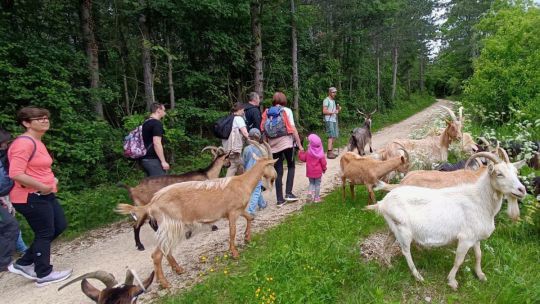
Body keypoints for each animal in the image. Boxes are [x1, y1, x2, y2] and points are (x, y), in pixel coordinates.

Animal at [114, 140, 274, 288]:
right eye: (272, 164)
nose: (274, 177)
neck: (242, 182)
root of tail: (152, 204)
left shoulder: (238, 210)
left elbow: (250, 217)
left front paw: (247, 238)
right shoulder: (233, 212)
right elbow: (232, 232)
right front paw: (234, 253)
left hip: (169, 228)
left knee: (165, 249)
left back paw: (178, 270)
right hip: (170, 225)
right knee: (157, 254)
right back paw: (164, 282)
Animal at [364, 152, 524, 290]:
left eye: (516, 173)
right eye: (499, 173)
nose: (521, 190)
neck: (479, 201)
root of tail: (382, 203)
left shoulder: (475, 237)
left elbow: (479, 255)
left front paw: (481, 275)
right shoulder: (465, 238)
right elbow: (459, 260)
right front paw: (452, 281)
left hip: (394, 227)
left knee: (386, 244)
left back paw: (388, 265)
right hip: (403, 230)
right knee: (405, 251)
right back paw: (418, 276)